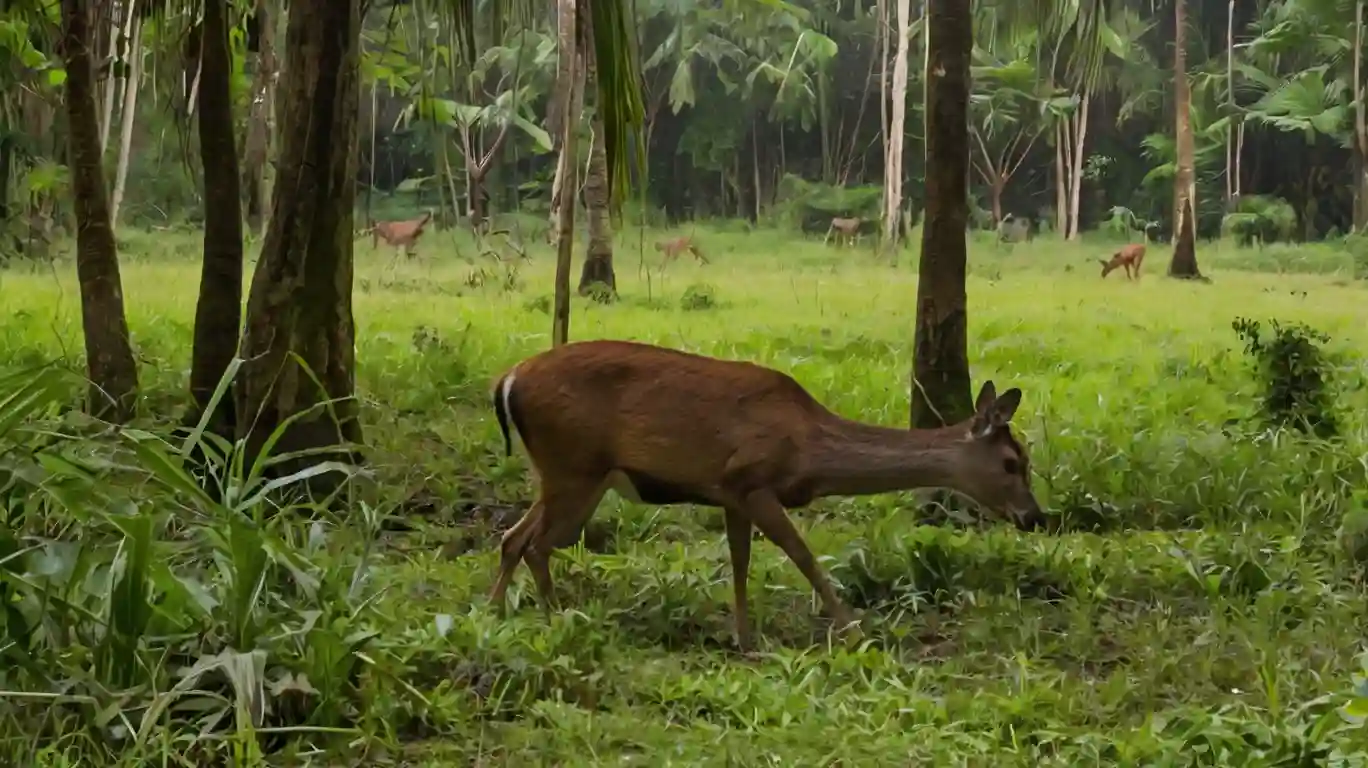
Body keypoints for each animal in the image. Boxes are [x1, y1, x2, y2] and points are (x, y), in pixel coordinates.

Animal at [487, 338, 1039, 648]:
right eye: (1013, 462)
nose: (1035, 516)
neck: (810, 448)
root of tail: (507, 380)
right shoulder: (752, 481)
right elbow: (803, 557)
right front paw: (853, 630)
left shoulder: (730, 492)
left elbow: (740, 562)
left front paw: (745, 639)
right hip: (574, 465)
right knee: (536, 543)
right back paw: (557, 618)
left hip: (571, 473)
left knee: (513, 537)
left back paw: (494, 613)